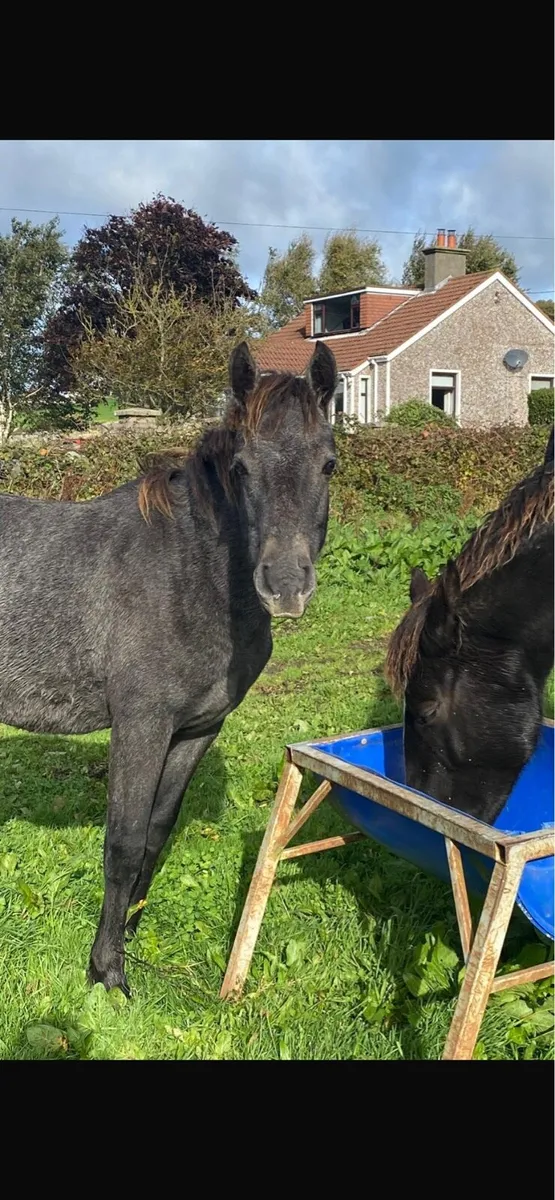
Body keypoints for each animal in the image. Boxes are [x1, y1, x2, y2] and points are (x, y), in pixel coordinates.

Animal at [0, 339, 338, 995]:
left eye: (329, 464)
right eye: (242, 469)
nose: (285, 585)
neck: (188, 575)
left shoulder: (196, 730)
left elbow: (157, 833)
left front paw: (129, 929)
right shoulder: (141, 725)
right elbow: (124, 842)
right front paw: (107, 970)